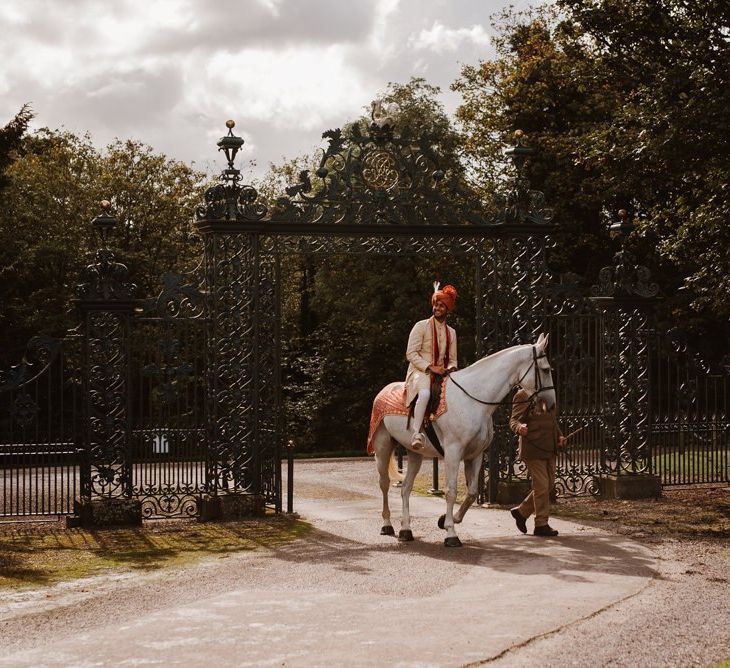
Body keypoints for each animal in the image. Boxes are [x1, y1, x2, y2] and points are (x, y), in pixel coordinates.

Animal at [372, 334, 556, 548]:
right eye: (545, 369)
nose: (551, 404)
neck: (473, 400)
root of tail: (383, 391)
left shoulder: (475, 455)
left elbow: (472, 493)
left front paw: (447, 520)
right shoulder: (453, 453)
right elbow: (451, 492)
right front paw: (451, 533)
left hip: (415, 454)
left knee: (406, 488)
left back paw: (405, 530)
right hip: (383, 447)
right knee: (384, 484)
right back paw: (387, 525)